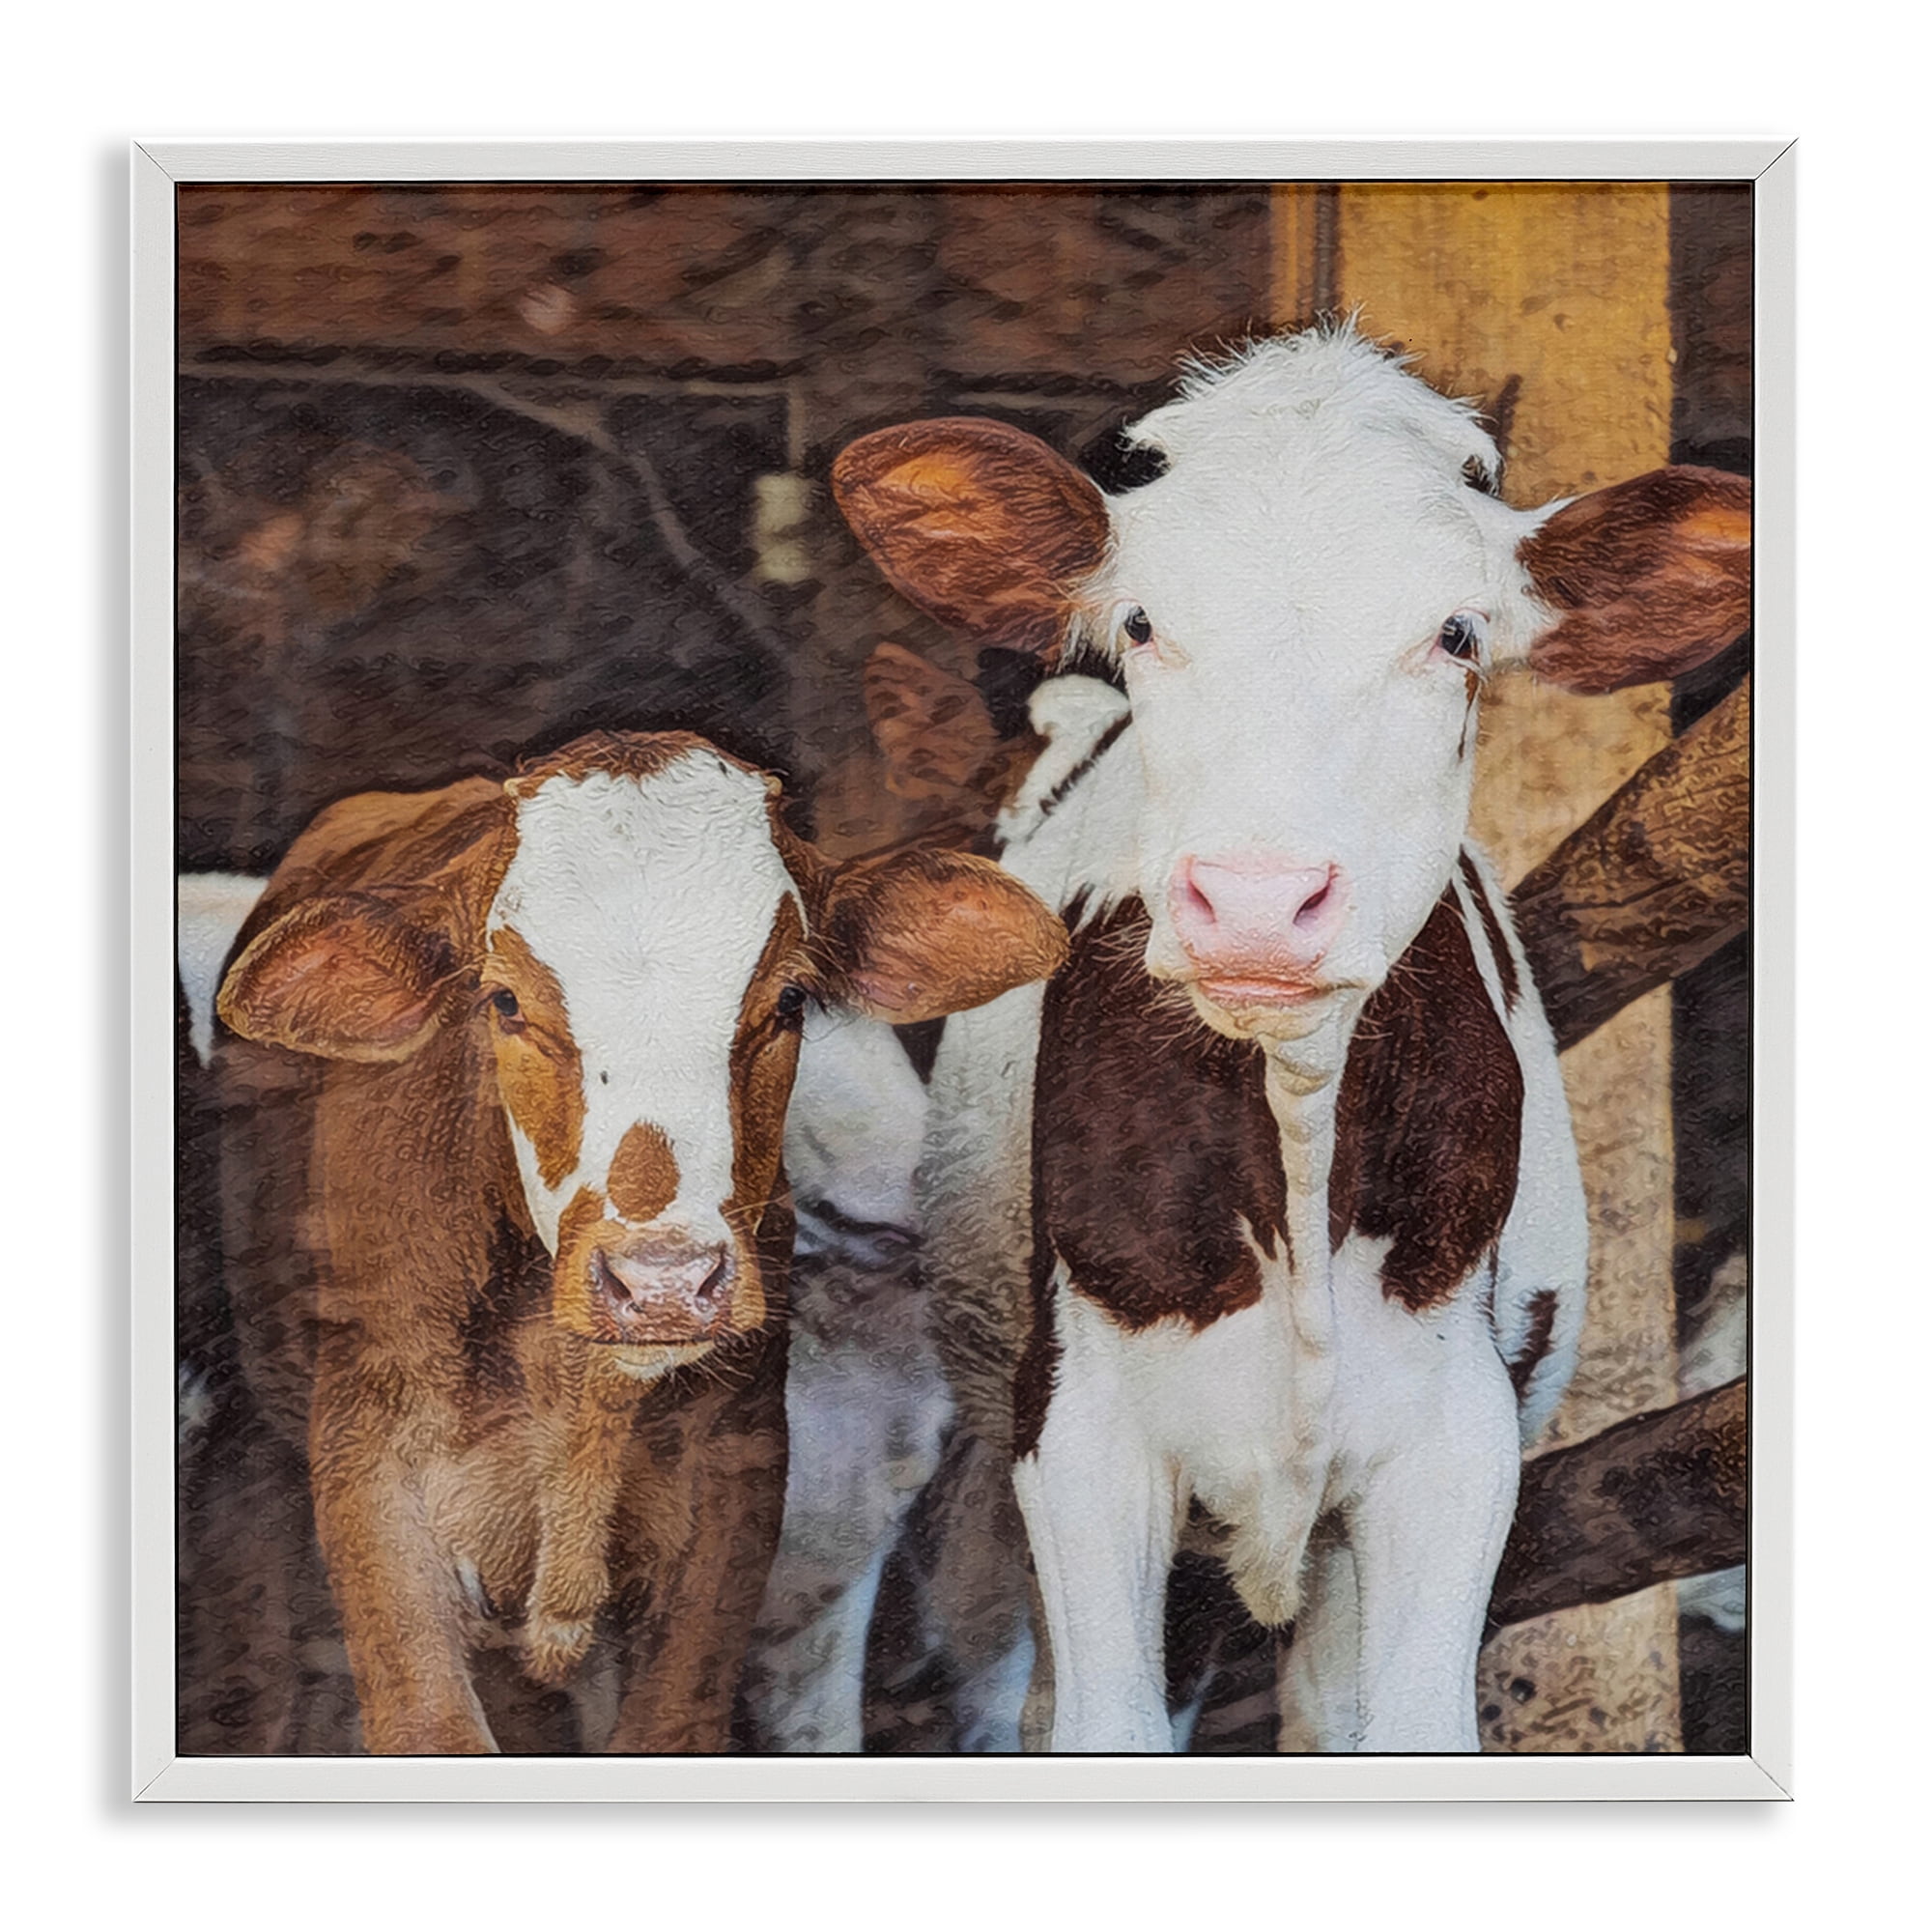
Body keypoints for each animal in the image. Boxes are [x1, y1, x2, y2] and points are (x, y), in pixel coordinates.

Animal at [830, 322, 1752, 1753]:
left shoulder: (1456, 1439)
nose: (1259, 899)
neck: (1299, 1128)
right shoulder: (1078, 1437)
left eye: (1456, 632)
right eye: (1143, 621)